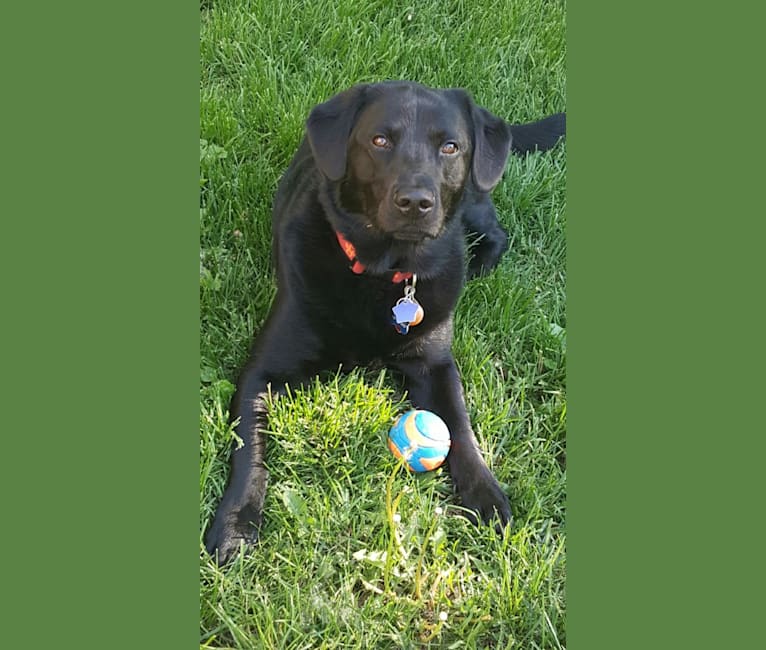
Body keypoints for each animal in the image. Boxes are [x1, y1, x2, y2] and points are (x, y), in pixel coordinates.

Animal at [204, 81, 564, 560]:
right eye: (379, 141)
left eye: (450, 147)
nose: (415, 202)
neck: (385, 274)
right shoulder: (261, 372)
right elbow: (248, 447)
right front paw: (235, 523)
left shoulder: (436, 364)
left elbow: (461, 426)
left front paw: (485, 494)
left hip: (473, 203)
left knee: (496, 232)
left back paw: (479, 264)